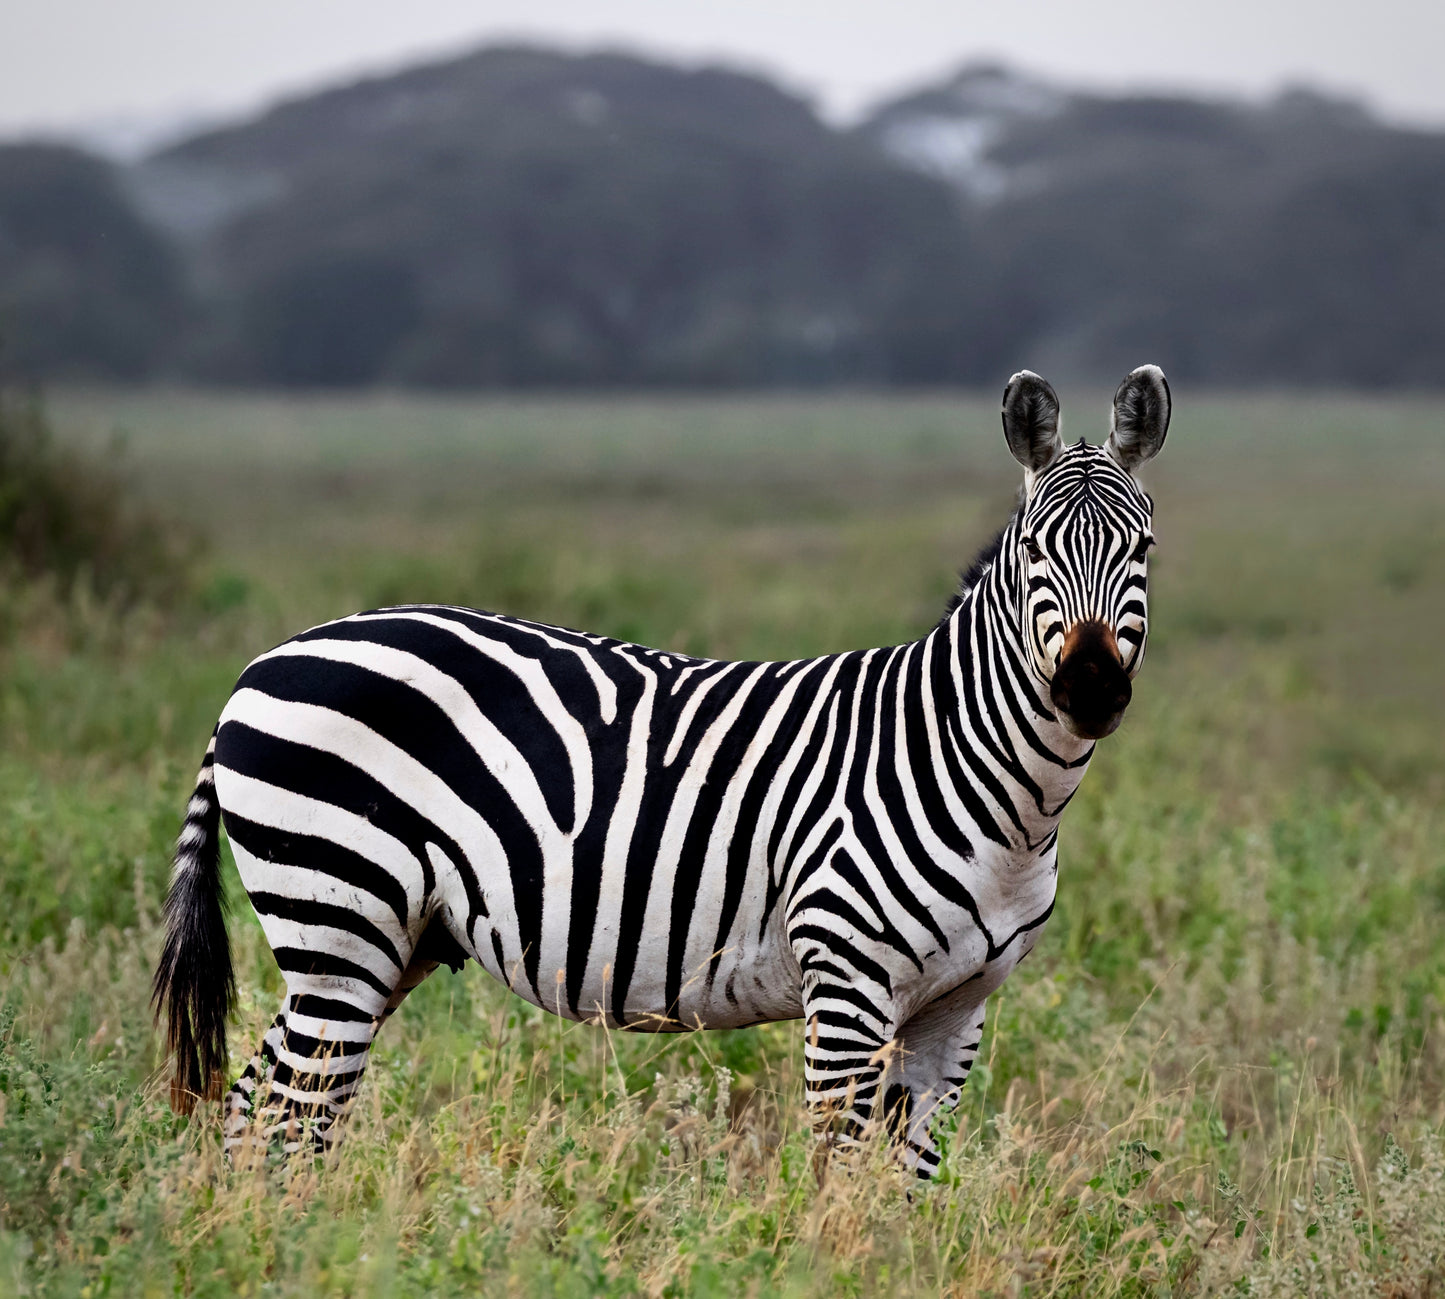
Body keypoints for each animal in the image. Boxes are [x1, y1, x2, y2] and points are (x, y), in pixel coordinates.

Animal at [152, 362, 1167, 1179]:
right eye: (1033, 548)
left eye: (1144, 548)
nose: (1088, 687)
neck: (1000, 794)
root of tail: (264, 662)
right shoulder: (845, 981)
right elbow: (839, 1172)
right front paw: (831, 1261)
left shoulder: (960, 1008)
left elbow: (909, 1181)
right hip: (339, 914)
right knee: (294, 1114)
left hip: (386, 938)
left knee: (258, 1104)